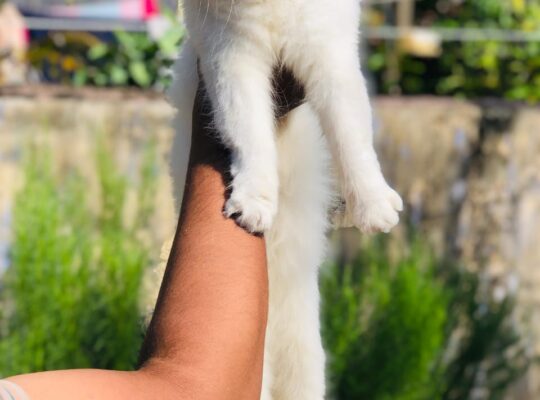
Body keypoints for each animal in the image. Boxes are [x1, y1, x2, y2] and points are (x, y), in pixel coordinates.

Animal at [169, 1, 400, 398]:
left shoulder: (330, 59)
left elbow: (353, 140)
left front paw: (374, 206)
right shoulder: (232, 60)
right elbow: (250, 137)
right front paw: (254, 204)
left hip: (305, 358)